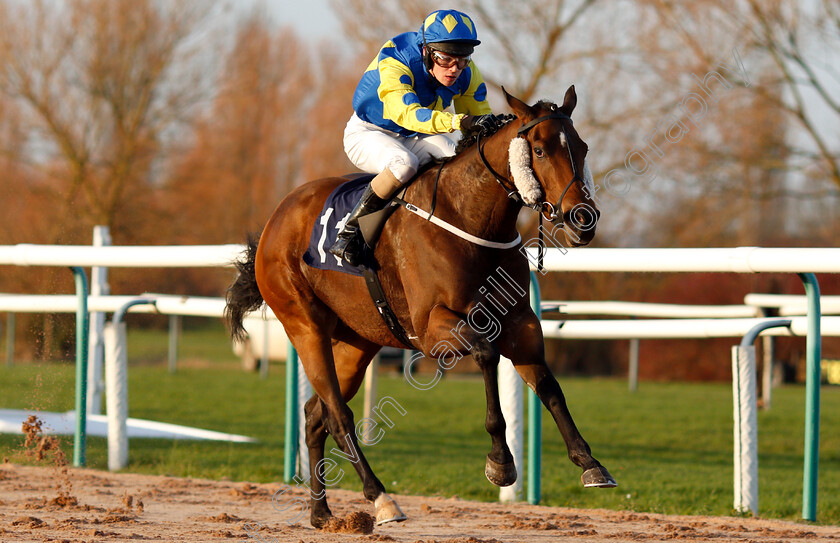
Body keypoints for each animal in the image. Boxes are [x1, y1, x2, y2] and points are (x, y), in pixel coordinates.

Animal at [226, 87, 612, 528]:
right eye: (540, 149)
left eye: (581, 147)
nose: (583, 218)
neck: (470, 218)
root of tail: (276, 218)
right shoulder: (432, 330)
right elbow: (486, 353)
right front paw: (500, 461)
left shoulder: (521, 324)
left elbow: (549, 386)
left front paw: (590, 463)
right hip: (304, 325)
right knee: (338, 416)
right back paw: (380, 498)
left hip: (357, 341)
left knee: (314, 415)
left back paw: (321, 511)